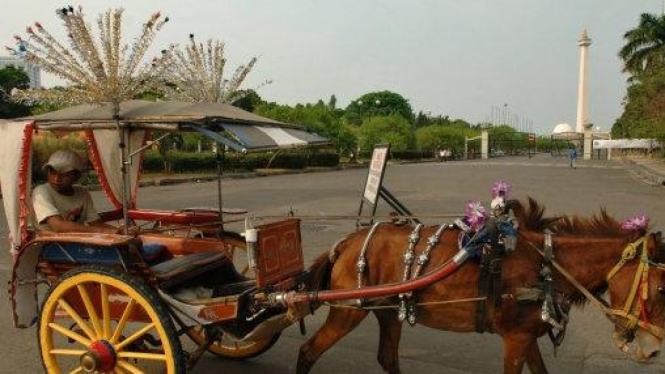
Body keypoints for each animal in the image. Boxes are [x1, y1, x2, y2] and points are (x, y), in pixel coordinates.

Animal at [296, 200, 664, 374]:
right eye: (662, 289)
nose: (654, 349)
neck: (545, 266)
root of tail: (345, 242)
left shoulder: (527, 336)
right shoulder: (515, 338)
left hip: (385, 309)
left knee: (387, 357)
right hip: (348, 311)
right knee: (308, 351)